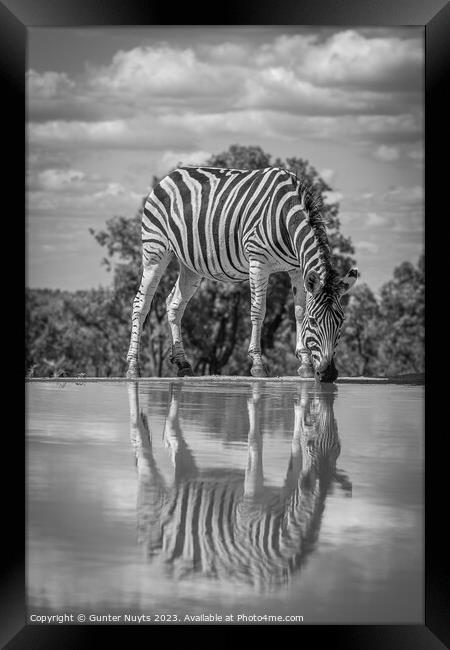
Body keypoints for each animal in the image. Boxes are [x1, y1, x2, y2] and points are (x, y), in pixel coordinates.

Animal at [126, 166, 358, 380]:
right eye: (314, 321)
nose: (328, 374)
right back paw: (133, 367)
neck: (286, 214)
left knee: (174, 304)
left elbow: (298, 310)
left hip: (190, 265)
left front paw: (306, 363)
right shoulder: (258, 261)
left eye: (341, 321)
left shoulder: (297, 268)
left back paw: (183, 364)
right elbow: (259, 310)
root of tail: (171, 174)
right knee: (141, 303)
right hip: (155, 249)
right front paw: (257, 364)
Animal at [126, 380, 352, 588]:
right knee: (141, 444)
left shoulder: (289, 488)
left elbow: (295, 449)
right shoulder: (249, 504)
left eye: (339, 446)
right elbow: (255, 441)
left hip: (187, 477)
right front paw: (255, 402)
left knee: (171, 436)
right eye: (313, 445)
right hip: (153, 493)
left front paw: (299, 407)